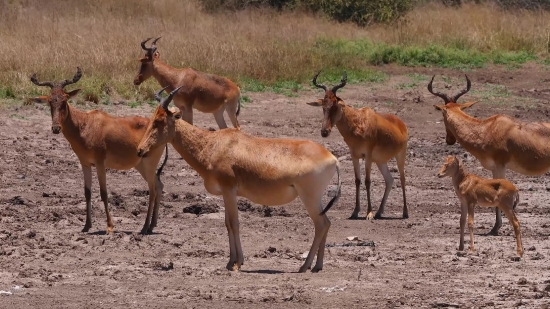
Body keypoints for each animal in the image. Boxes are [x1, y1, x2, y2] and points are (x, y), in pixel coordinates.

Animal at [30, 65, 167, 233]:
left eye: (64, 100)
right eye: (50, 101)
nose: (56, 128)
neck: (85, 124)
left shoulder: (100, 163)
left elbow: (103, 193)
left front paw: (109, 226)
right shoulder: (85, 163)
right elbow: (87, 192)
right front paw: (86, 225)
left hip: (149, 163)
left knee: (153, 189)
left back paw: (145, 227)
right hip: (140, 165)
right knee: (159, 186)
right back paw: (152, 225)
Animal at [138, 85, 342, 270]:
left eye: (160, 121)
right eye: (152, 118)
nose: (140, 150)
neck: (214, 144)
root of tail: (333, 158)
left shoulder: (229, 190)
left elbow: (233, 223)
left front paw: (236, 263)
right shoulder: (226, 193)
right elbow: (227, 223)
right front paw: (232, 261)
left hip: (309, 197)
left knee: (321, 224)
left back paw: (304, 266)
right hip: (316, 198)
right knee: (327, 223)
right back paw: (317, 266)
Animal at [306, 71, 410, 219]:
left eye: (335, 104)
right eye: (323, 106)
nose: (324, 131)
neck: (359, 121)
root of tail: (401, 123)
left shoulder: (368, 156)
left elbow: (367, 181)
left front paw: (369, 213)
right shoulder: (354, 155)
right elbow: (357, 180)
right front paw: (355, 212)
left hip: (400, 154)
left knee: (402, 178)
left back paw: (405, 212)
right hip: (380, 161)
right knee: (389, 180)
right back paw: (379, 212)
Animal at [430, 74, 550, 233]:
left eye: (443, 115)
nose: (449, 140)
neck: (488, 128)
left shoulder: (500, 167)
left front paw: (495, 228)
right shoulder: (494, 168)